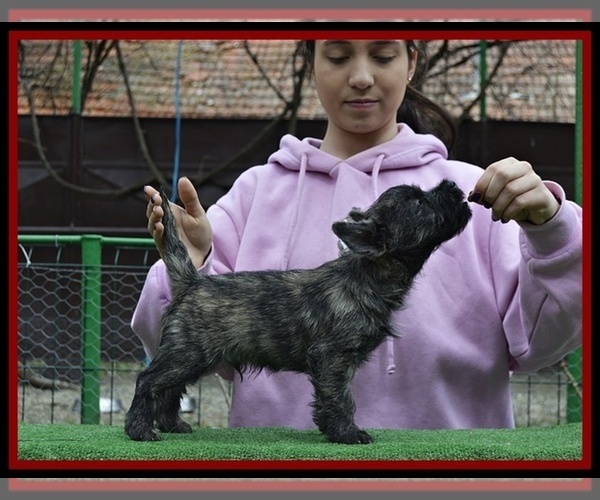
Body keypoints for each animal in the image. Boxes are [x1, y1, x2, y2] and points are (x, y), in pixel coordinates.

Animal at [126, 180, 472, 446]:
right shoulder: (333, 357)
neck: (366, 275)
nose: (453, 186)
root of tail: (193, 280)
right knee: (149, 380)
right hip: (188, 353)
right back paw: (139, 429)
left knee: (169, 388)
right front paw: (347, 433)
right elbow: (341, 397)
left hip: (195, 358)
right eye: (419, 203)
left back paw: (172, 425)